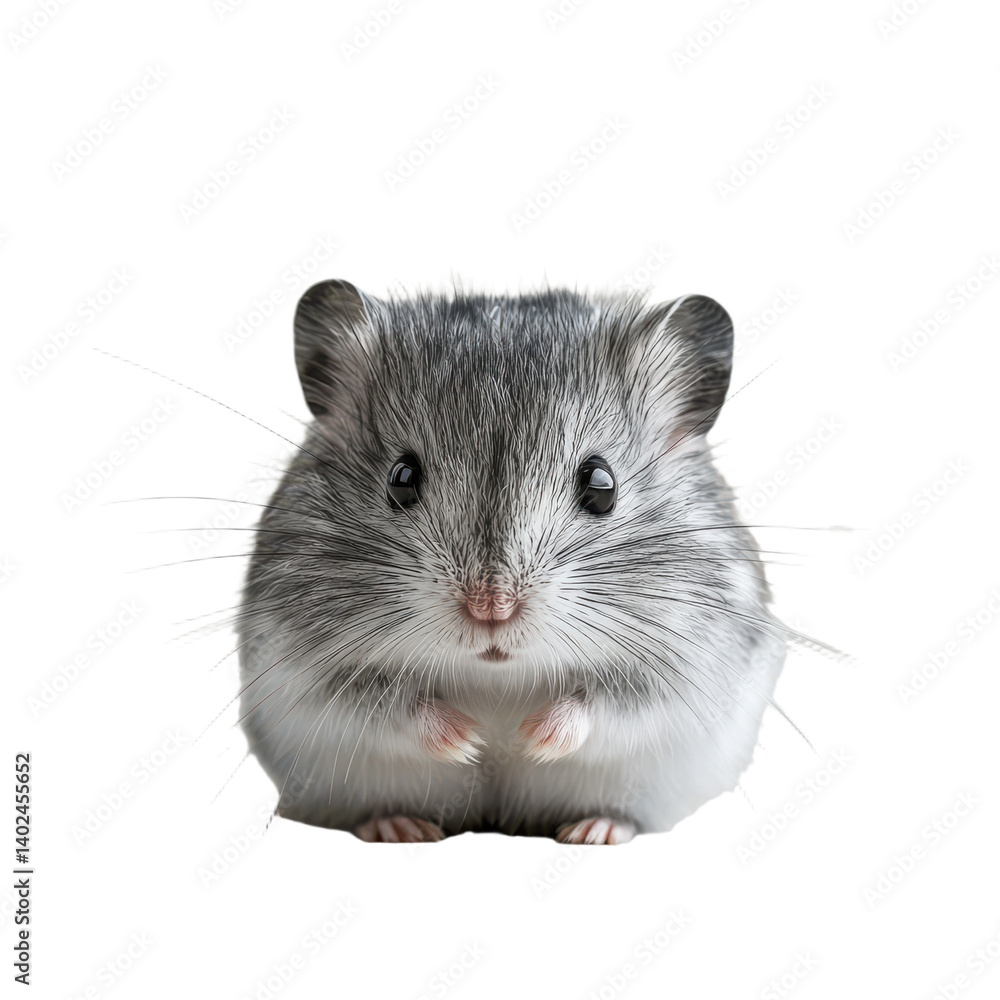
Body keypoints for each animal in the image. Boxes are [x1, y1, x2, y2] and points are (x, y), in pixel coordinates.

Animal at [236, 280, 787, 844]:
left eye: (602, 485)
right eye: (401, 478)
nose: (491, 609)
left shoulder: (688, 668)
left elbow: (609, 704)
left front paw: (526, 739)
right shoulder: (306, 669)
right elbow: (385, 704)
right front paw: (473, 741)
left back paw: (595, 829)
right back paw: (399, 826)